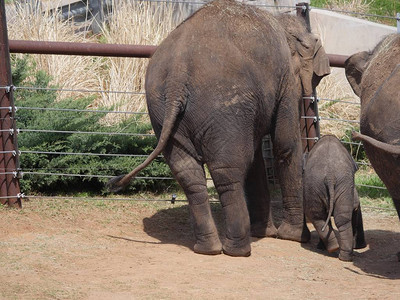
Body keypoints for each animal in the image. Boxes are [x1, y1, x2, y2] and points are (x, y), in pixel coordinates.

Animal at [108, 0, 330, 258]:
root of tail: (177, 73)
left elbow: (257, 157)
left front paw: (266, 234)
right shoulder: (285, 80)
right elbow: (285, 145)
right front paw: (294, 237)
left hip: (162, 110)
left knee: (189, 174)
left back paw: (208, 249)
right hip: (222, 106)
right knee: (227, 171)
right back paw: (237, 251)